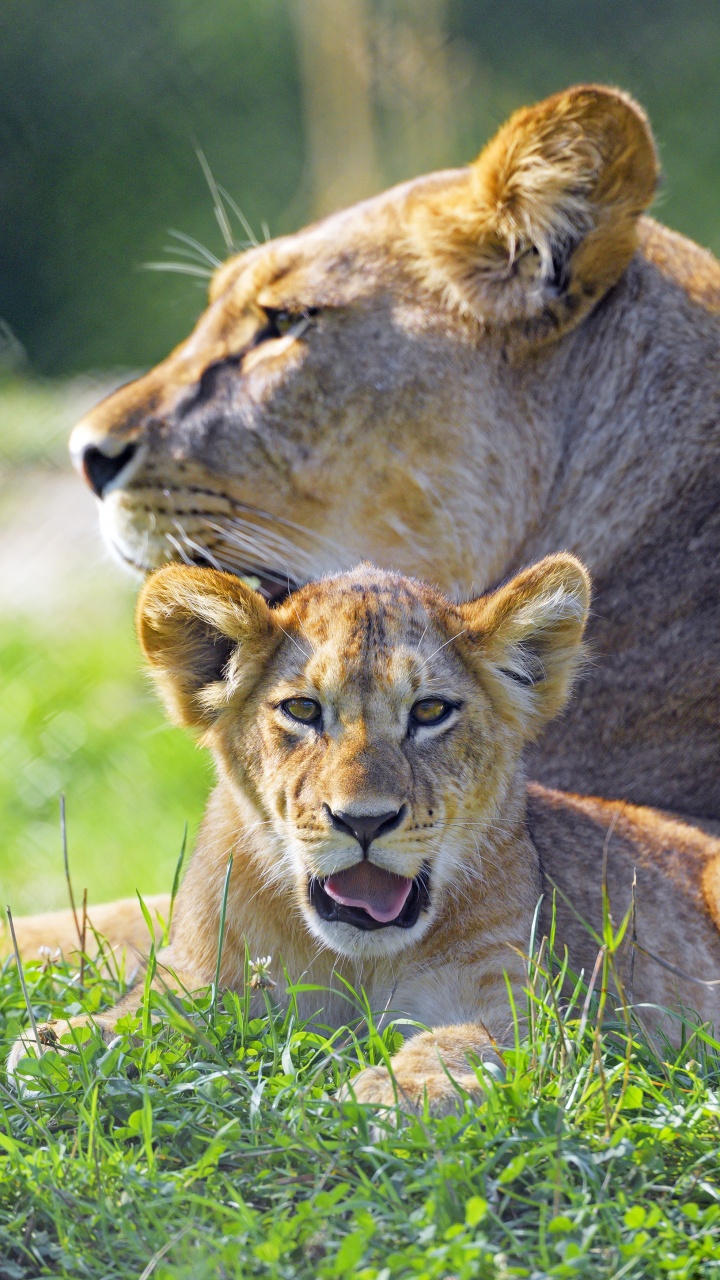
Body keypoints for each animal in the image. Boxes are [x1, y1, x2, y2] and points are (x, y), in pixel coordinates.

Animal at [10, 559, 720, 1112]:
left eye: (430, 711)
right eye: (302, 709)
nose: (364, 821)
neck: (357, 962)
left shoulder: (530, 1014)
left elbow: (459, 1044)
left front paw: (394, 1092)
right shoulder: (204, 974)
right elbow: (150, 1012)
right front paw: (61, 1043)